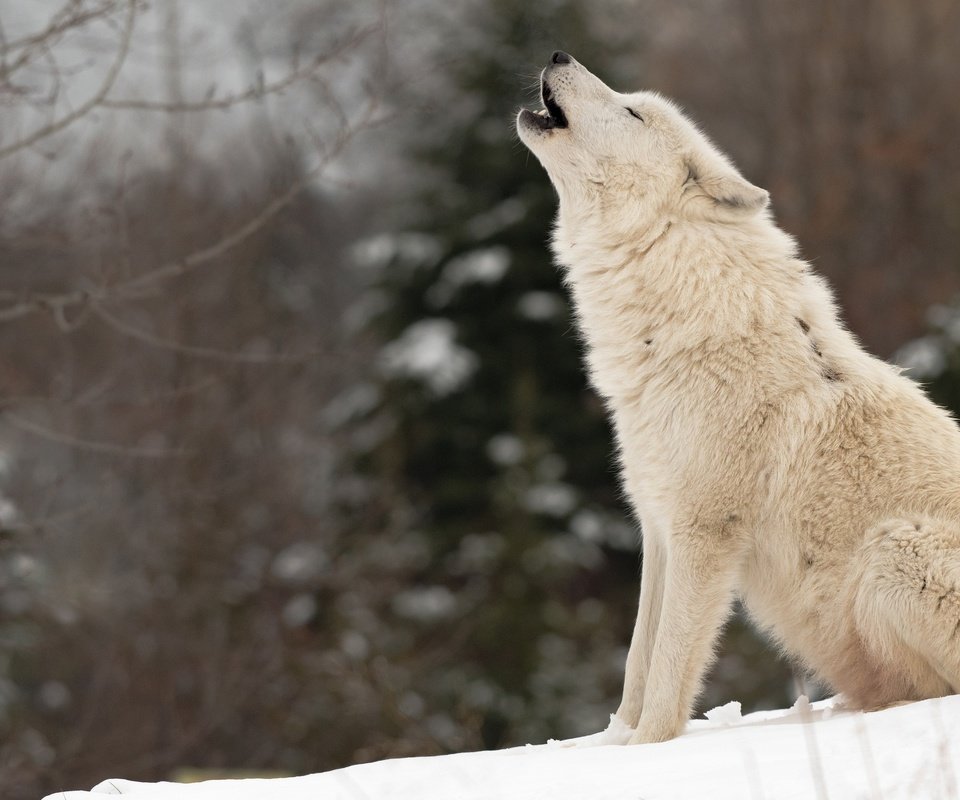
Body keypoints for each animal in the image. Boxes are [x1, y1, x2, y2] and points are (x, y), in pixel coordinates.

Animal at [520, 53, 960, 748]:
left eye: (631, 111)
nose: (560, 55)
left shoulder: (704, 528)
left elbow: (670, 664)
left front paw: (649, 750)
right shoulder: (657, 523)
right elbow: (638, 659)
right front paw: (614, 745)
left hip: (895, 550)